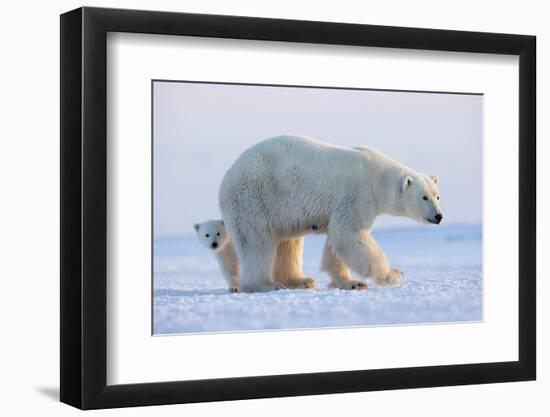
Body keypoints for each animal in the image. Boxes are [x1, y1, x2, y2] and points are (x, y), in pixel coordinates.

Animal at [220, 135, 444, 290]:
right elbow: (350, 233)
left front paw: (351, 283)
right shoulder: (357, 195)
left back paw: (301, 280)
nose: (439, 216)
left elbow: (336, 242)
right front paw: (394, 275)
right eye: (424, 197)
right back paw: (265, 284)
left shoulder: (341, 207)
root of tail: (226, 178)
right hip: (254, 197)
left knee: (288, 242)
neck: (378, 177)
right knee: (257, 241)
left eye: (437, 196)